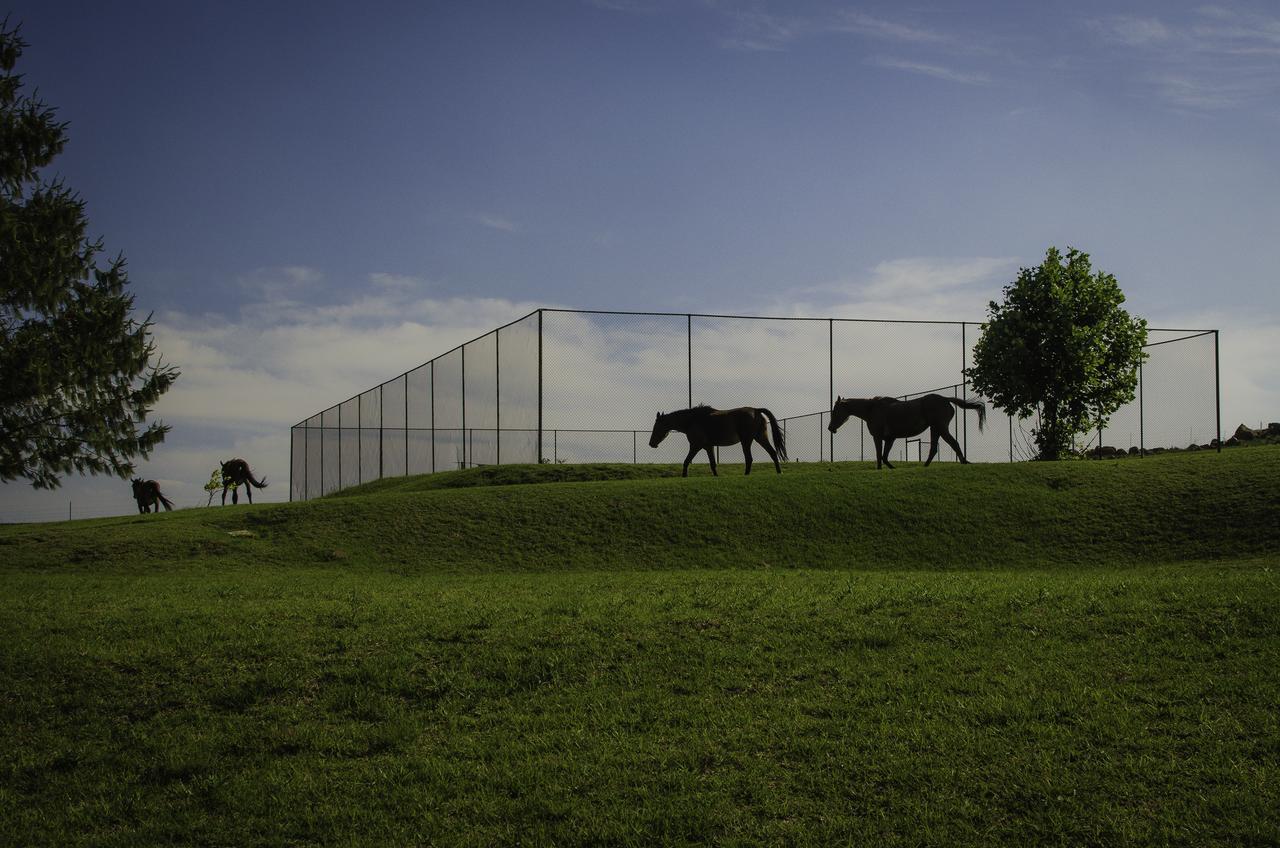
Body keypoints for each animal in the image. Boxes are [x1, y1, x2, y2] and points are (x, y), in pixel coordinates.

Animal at [650, 407, 788, 479]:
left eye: (656, 426)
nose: (651, 443)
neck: (692, 420)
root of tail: (756, 410)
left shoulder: (695, 446)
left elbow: (686, 461)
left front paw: (684, 476)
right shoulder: (708, 446)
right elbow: (712, 464)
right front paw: (716, 476)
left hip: (746, 440)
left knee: (749, 458)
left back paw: (746, 474)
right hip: (760, 437)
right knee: (772, 453)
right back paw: (779, 472)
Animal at [829, 394, 988, 471]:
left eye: (835, 411)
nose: (830, 428)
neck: (872, 408)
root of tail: (945, 399)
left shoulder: (878, 437)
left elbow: (880, 455)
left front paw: (880, 469)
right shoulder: (890, 438)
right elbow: (884, 456)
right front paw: (891, 468)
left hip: (941, 427)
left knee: (953, 443)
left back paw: (963, 461)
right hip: (935, 428)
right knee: (934, 448)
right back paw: (926, 466)